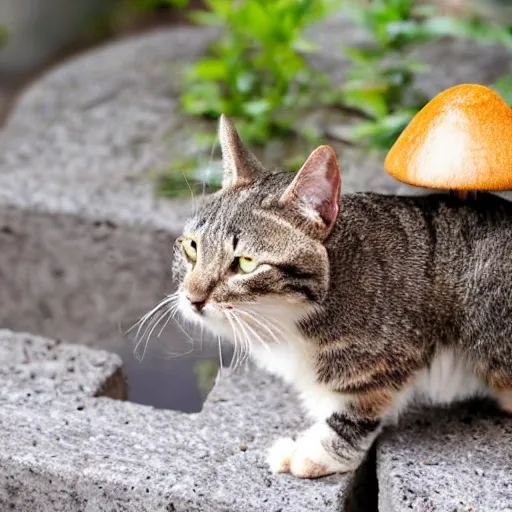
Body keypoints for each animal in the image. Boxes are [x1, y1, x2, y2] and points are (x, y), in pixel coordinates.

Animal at [173, 114, 512, 478]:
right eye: (192, 247)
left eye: (246, 263)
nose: (193, 297)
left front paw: (317, 451)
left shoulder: (386, 362)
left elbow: (356, 412)